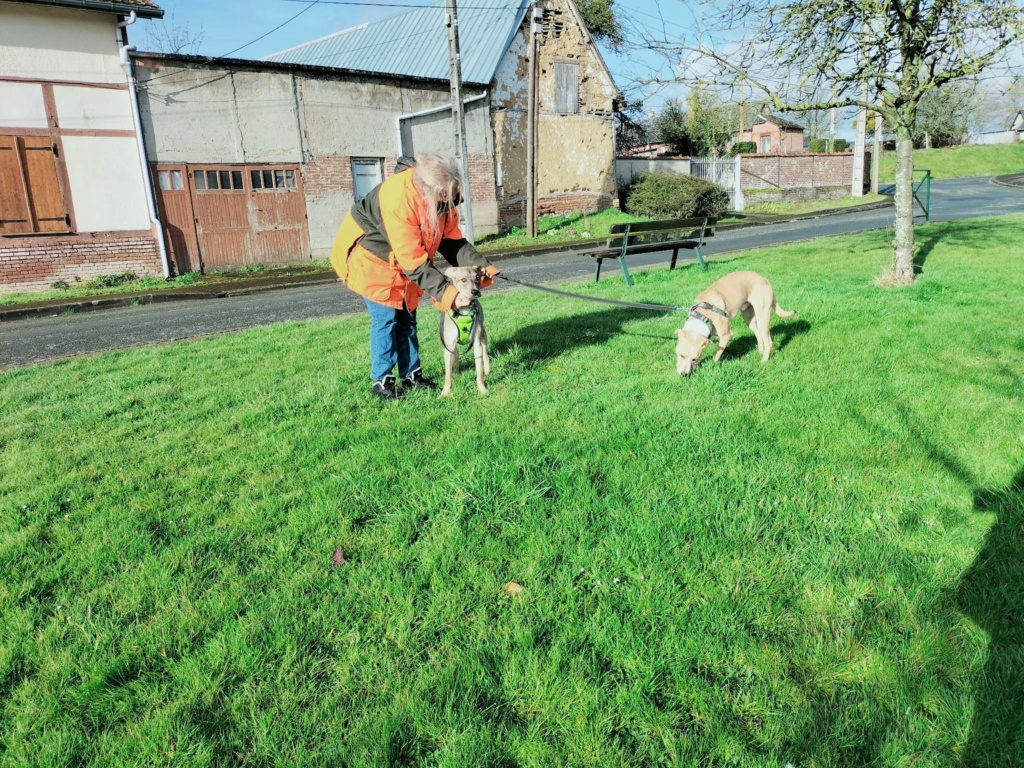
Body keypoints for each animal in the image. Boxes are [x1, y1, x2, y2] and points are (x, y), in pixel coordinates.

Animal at [438, 266, 489, 397]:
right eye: (463, 280)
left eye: (477, 278)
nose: (475, 291)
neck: (464, 311)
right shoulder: (449, 345)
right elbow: (447, 375)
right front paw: (445, 393)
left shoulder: (476, 343)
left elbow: (479, 371)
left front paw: (482, 389)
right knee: (456, 356)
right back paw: (456, 373)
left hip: (483, 334)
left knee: (485, 351)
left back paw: (487, 369)